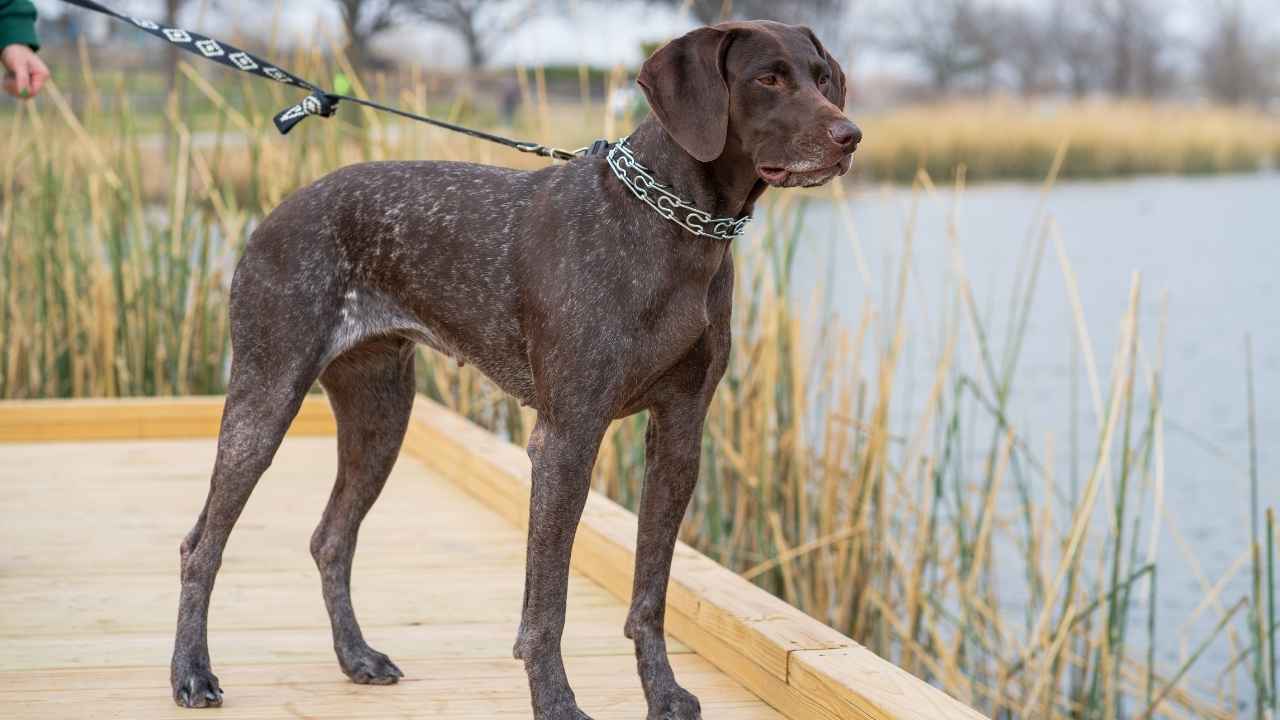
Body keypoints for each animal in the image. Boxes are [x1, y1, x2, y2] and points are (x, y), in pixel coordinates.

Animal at [167, 19, 849, 712]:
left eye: (823, 79)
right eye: (768, 78)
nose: (850, 136)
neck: (673, 227)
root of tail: (273, 215)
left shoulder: (681, 434)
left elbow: (649, 596)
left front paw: (663, 695)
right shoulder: (567, 438)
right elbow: (546, 605)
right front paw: (556, 704)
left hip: (380, 415)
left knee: (331, 538)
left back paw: (356, 656)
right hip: (266, 399)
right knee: (202, 545)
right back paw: (191, 672)